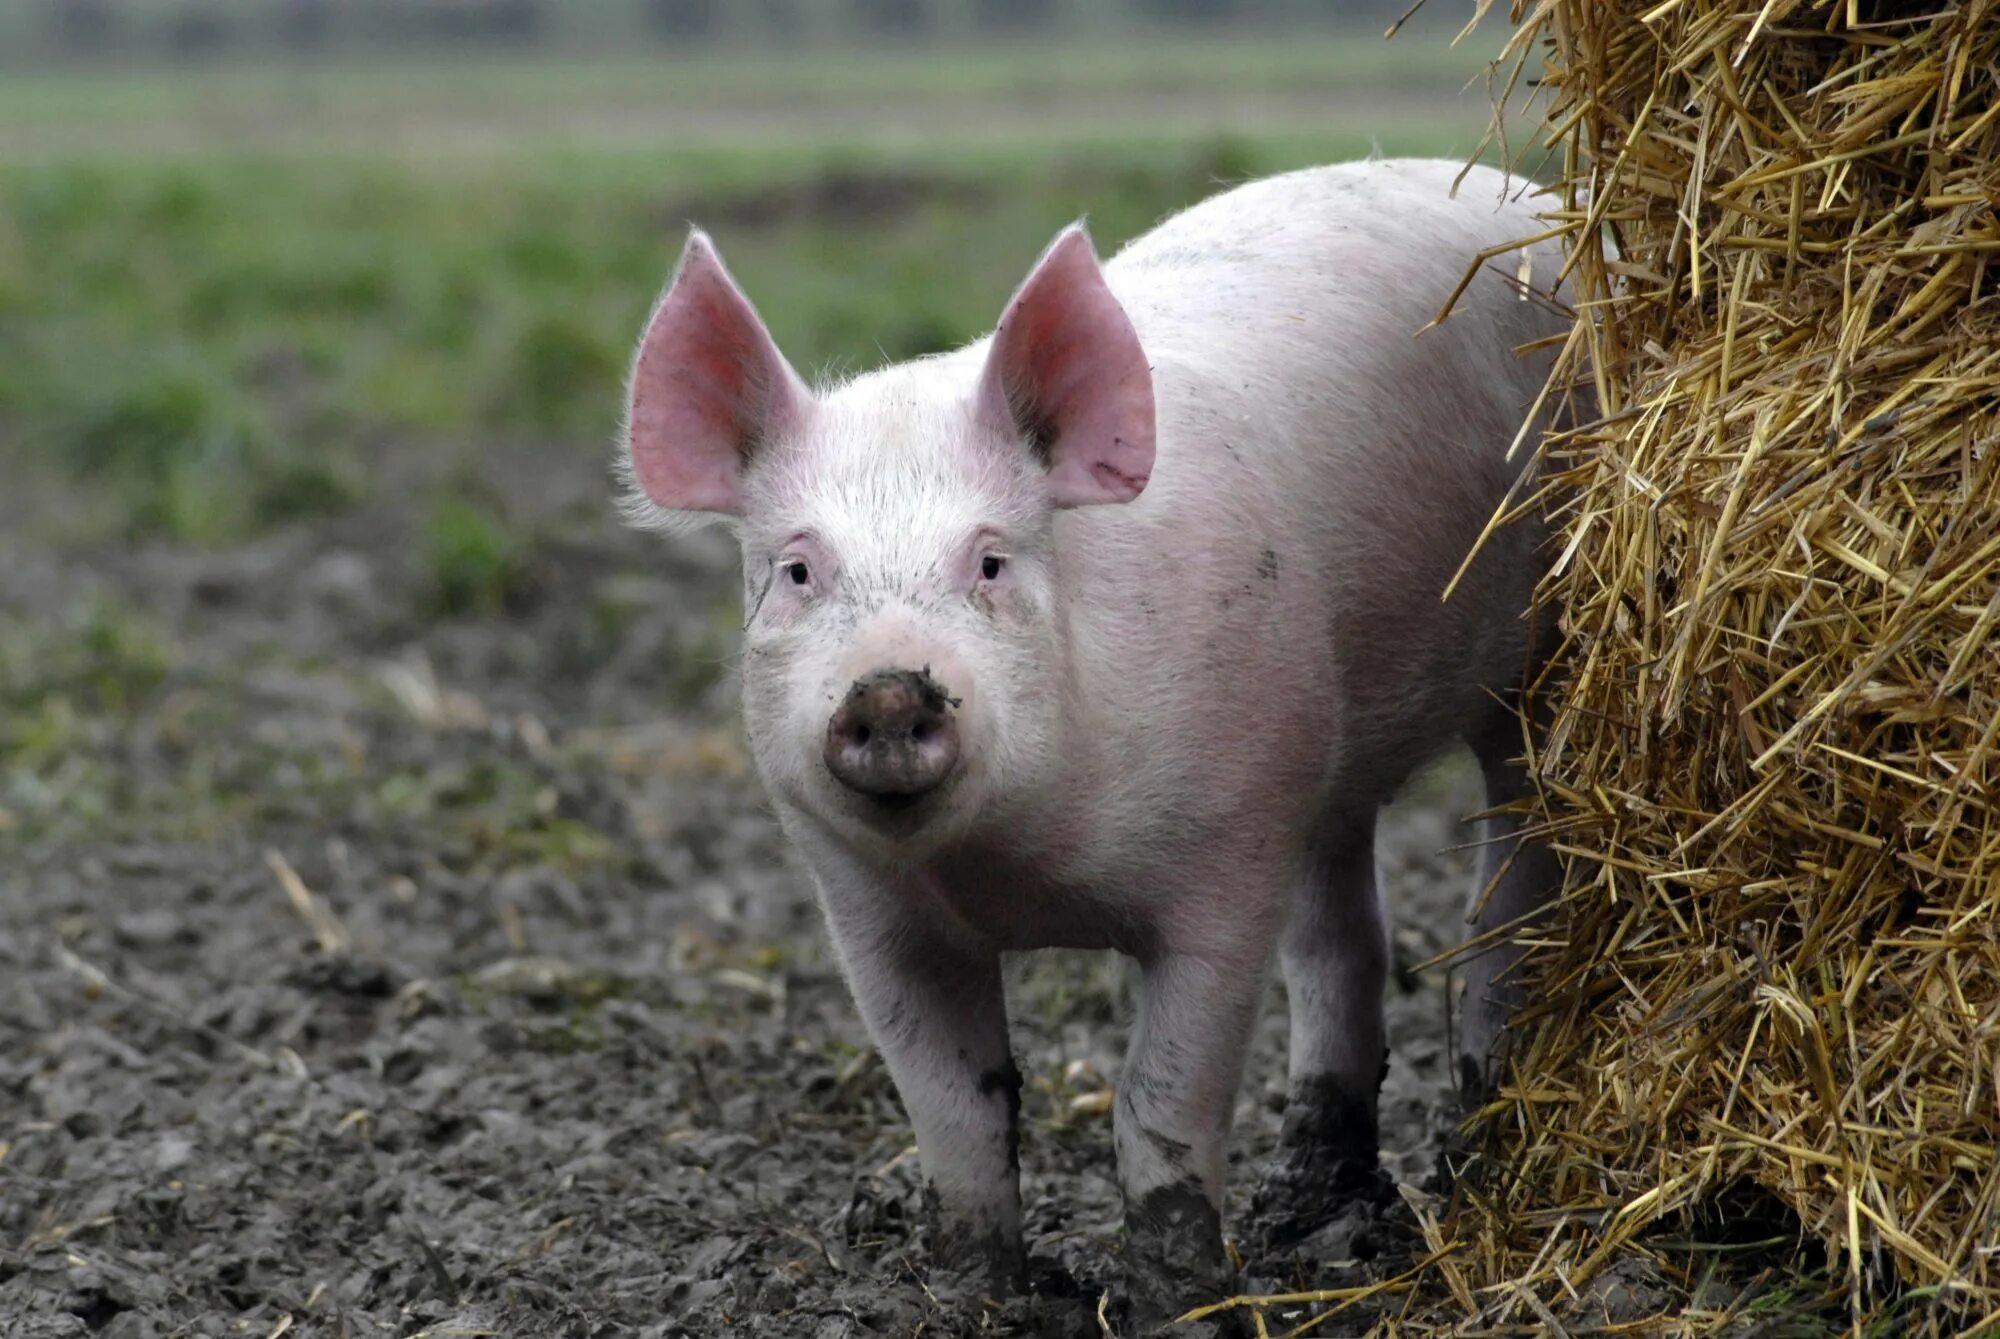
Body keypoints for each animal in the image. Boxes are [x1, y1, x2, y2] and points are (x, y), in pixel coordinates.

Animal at [616, 159, 1568, 1335]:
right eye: (796, 570)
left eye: (989, 561)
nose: (887, 686)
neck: (1015, 882)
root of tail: (1526, 191)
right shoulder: (867, 909)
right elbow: (954, 1106)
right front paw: (977, 1291)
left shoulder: (1223, 859)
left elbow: (1157, 1097)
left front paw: (1177, 1300)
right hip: (1316, 751)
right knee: (1345, 939)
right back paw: (1309, 1206)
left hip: (1537, 668)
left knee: (1506, 898)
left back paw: (1471, 1149)